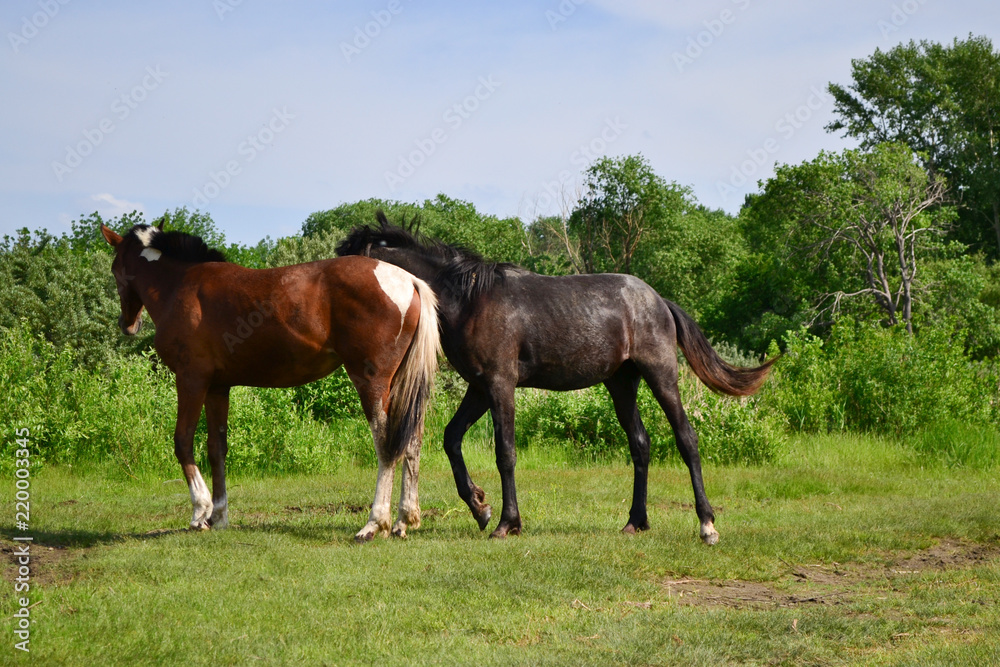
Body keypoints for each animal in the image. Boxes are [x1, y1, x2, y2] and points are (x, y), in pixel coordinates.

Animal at [99, 222, 440, 540]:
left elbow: (182, 441)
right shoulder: (217, 389)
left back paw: (374, 523)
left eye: (115, 269)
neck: (180, 287)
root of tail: (408, 280)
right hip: (401, 386)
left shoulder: (191, 380)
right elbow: (216, 448)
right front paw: (218, 516)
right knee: (412, 442)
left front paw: (200, 511)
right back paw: (404, 520)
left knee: (386, 446)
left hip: (372, 383)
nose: (127, 324)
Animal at [340, 217, 776, 544]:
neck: (471, 299)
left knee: (687, 439)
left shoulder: (500, 385)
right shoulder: (480, 386)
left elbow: (505, 452)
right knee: (640, 444)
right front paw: (480, 507)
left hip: (661, 374)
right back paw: (635, 521)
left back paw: (707, 525)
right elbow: (451, 438)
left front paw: (506, 523)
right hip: (621, 384)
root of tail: (659, 301)